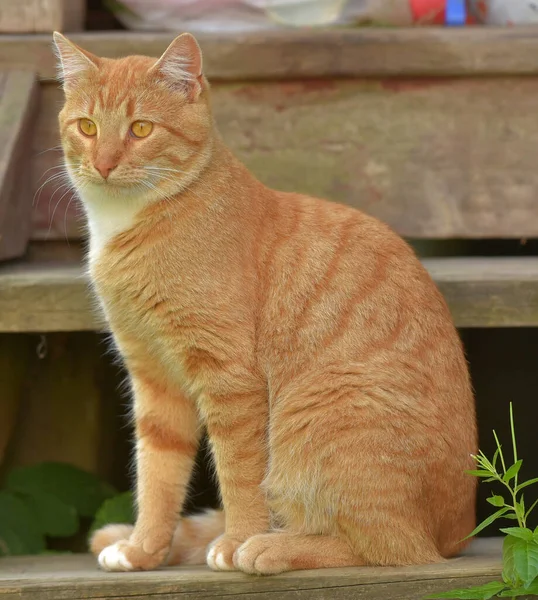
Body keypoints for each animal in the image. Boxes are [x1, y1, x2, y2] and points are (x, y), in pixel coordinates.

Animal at [52, 31, 476, 572]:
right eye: (87, 126)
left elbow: (240, 476)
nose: (104, 164)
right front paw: (144, 548)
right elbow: (157, 475)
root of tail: (458, 533)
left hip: (322, 410)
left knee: (392, 548)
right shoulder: (153, 376)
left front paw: (236, 539)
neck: (130, 222)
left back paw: (271, 545)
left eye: (141, 128)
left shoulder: (229, 379)